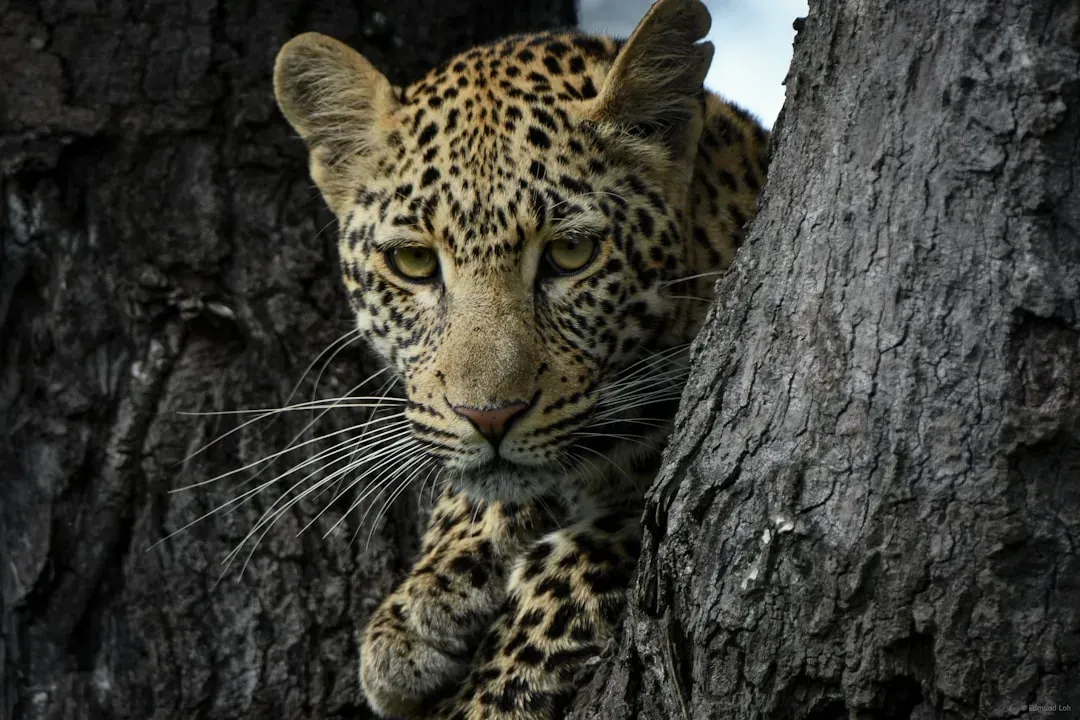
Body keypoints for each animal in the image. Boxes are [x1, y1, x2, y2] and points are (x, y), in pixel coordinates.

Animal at [272, 0, 768, 717]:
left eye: (570, 254)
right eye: (413, 262)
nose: (490, 418)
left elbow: (597, 547)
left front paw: (492, 688)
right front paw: (424, 602)